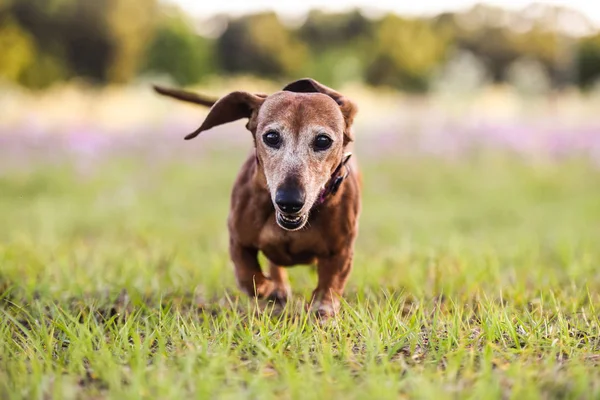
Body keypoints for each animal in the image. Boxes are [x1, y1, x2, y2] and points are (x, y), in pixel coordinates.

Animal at [155, 77, 360, 316]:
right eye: (271, 137)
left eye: (322, 140)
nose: (289, 201)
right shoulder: (238, 240)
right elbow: (248, 277)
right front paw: (269, 289)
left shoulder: (341, 252)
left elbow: (329, 287)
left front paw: (322, 307)